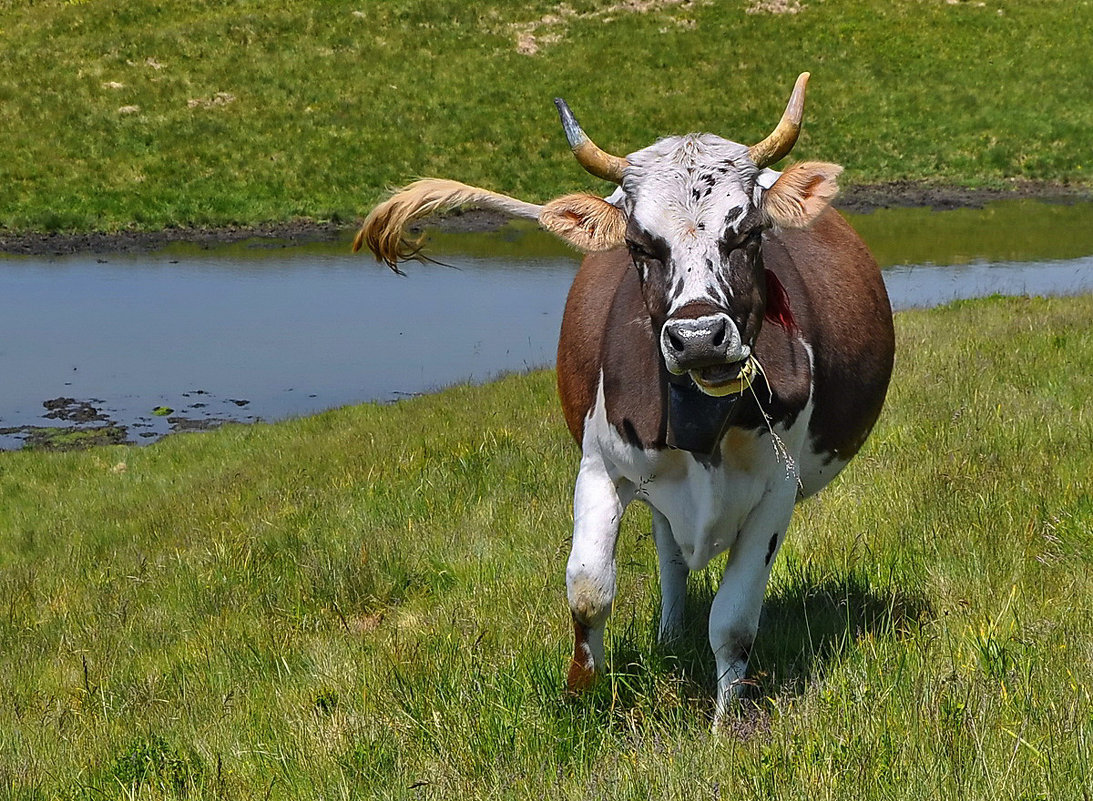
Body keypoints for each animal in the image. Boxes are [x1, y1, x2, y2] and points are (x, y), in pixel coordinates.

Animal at [354, 74, 891, 721]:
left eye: (749, 233)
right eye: (640, 245)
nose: (698, 337)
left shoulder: (776, 493)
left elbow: (734, 621)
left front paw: (727, 720)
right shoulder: (599, 466)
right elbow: (588, 590)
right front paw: (581, 697)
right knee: (669, 555)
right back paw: (669, 634)